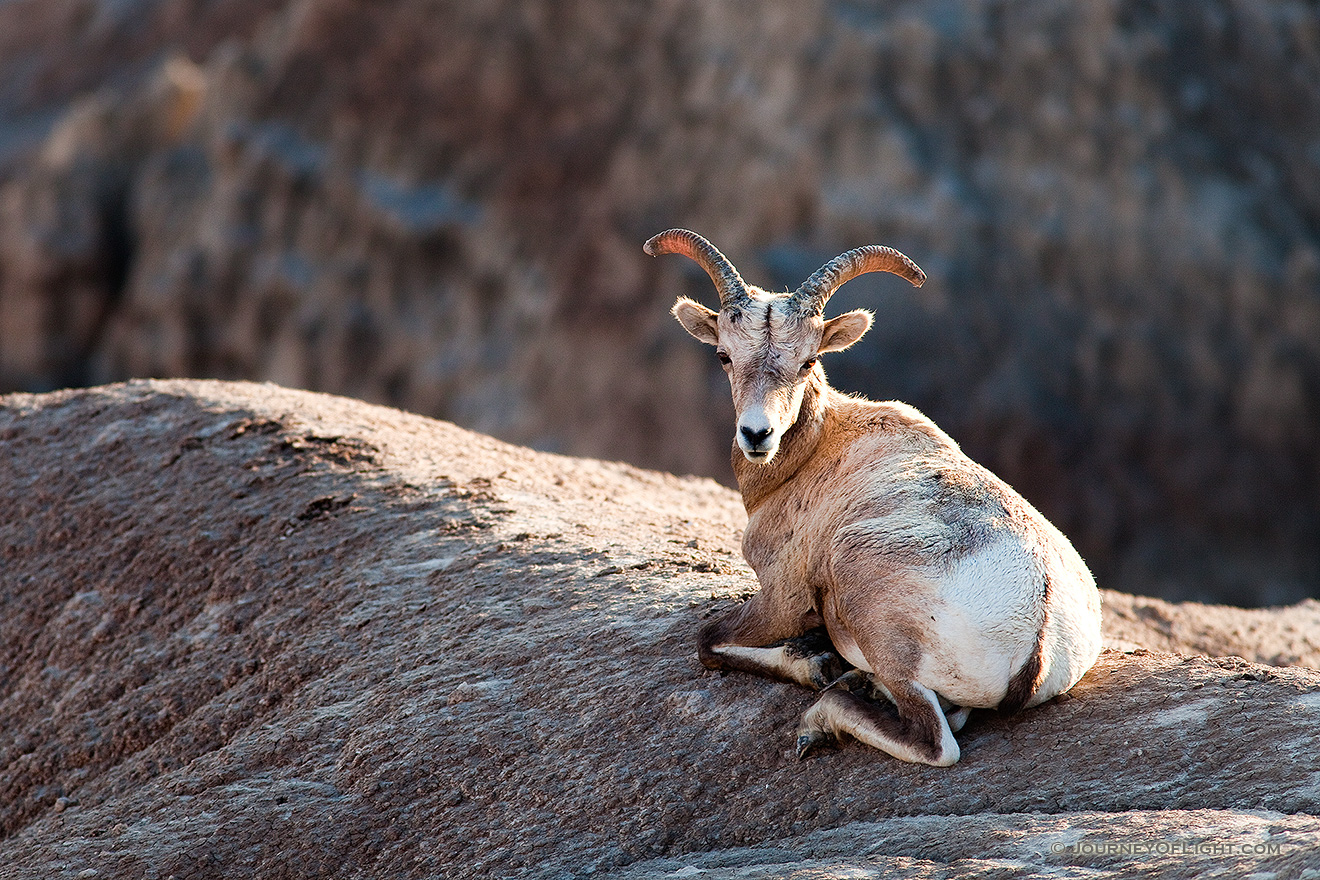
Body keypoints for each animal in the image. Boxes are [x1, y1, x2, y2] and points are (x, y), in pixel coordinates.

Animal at [646, 230, 1103, 765]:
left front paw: (815, 668)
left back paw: (821, 719)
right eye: (724, 355)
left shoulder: (782, 599)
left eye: (808, 360)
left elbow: (707, 642)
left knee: (935, 740)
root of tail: (1038, 637)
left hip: (872, 612)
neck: (819, 451)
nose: (757, 435)